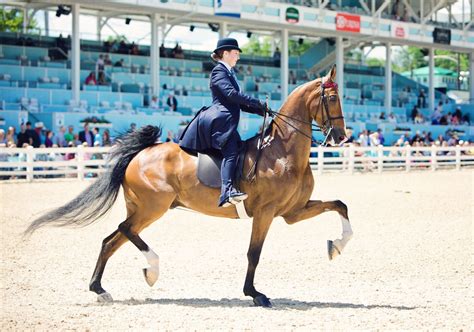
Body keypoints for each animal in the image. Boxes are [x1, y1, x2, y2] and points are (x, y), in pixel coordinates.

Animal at [25, 63, 352, 308]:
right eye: (332, 99)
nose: (341, 137)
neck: (282, 152)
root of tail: (139, 153)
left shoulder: (292, 212)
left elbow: (340, 204)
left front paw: (336, 246)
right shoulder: (266, 212)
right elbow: (254, 253)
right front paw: (255, 294)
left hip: (144, 208)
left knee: (112, 239)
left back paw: (101, 289)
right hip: (153, 207)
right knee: (125, 231)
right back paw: (152, 269)